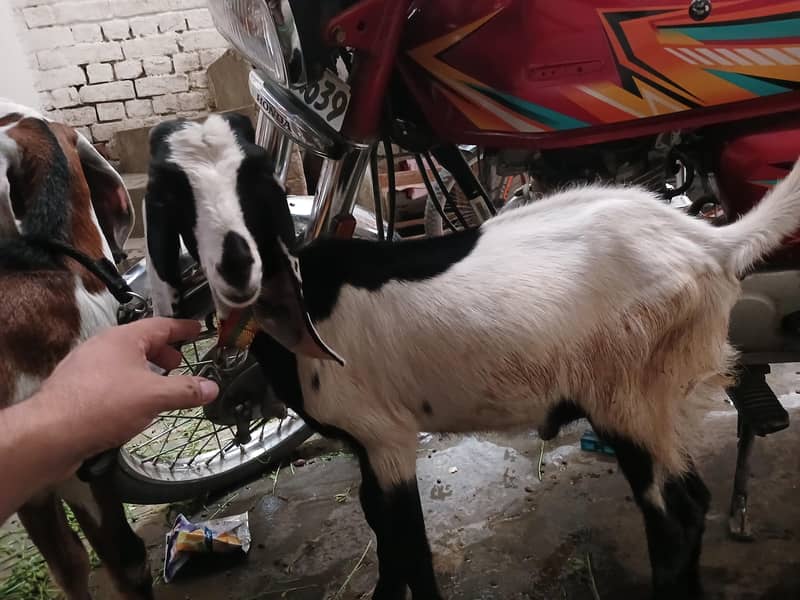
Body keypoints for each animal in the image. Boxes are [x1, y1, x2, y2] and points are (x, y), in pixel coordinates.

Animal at [145, 113, 800, 600]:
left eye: (256, 180)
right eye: (172, 189)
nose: (237, 264)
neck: (310, 297)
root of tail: (710, 242)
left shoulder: (388, 437)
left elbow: (410, 545)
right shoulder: (365, 442)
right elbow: (382, 532)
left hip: (629, 392)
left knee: (676, 515)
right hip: (657, 395)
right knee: (692, 501)